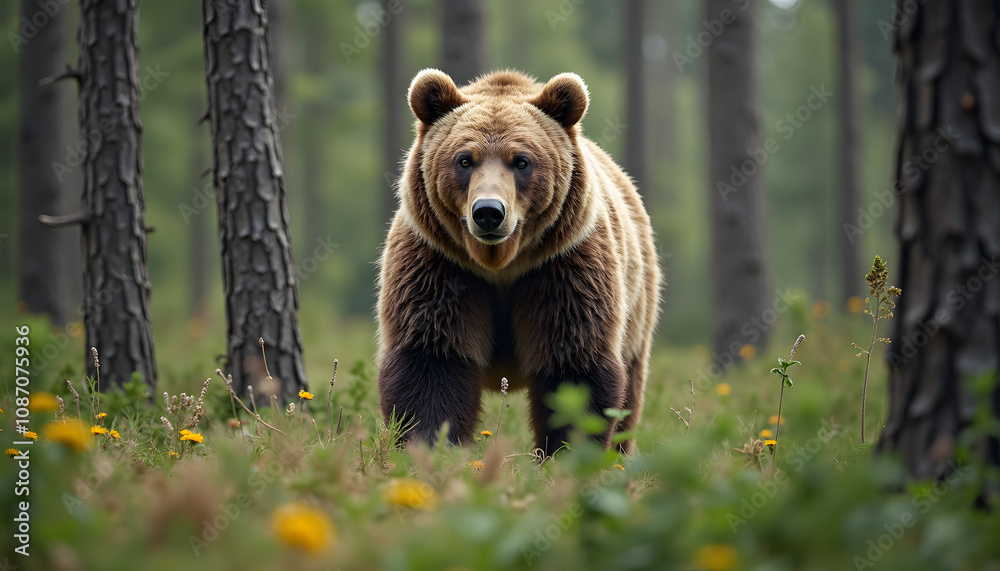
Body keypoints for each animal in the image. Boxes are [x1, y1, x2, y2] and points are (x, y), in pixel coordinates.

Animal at [377, 69, 661, 456]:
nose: (488, 212)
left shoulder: (563, 265)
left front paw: (566, 453)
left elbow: (573, 364)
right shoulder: (440, 264)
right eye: (464, 159)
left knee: (629, 391)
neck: (500, 263)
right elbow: (432, 359)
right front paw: (431, 446)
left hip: (637, 308)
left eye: (521, 161)